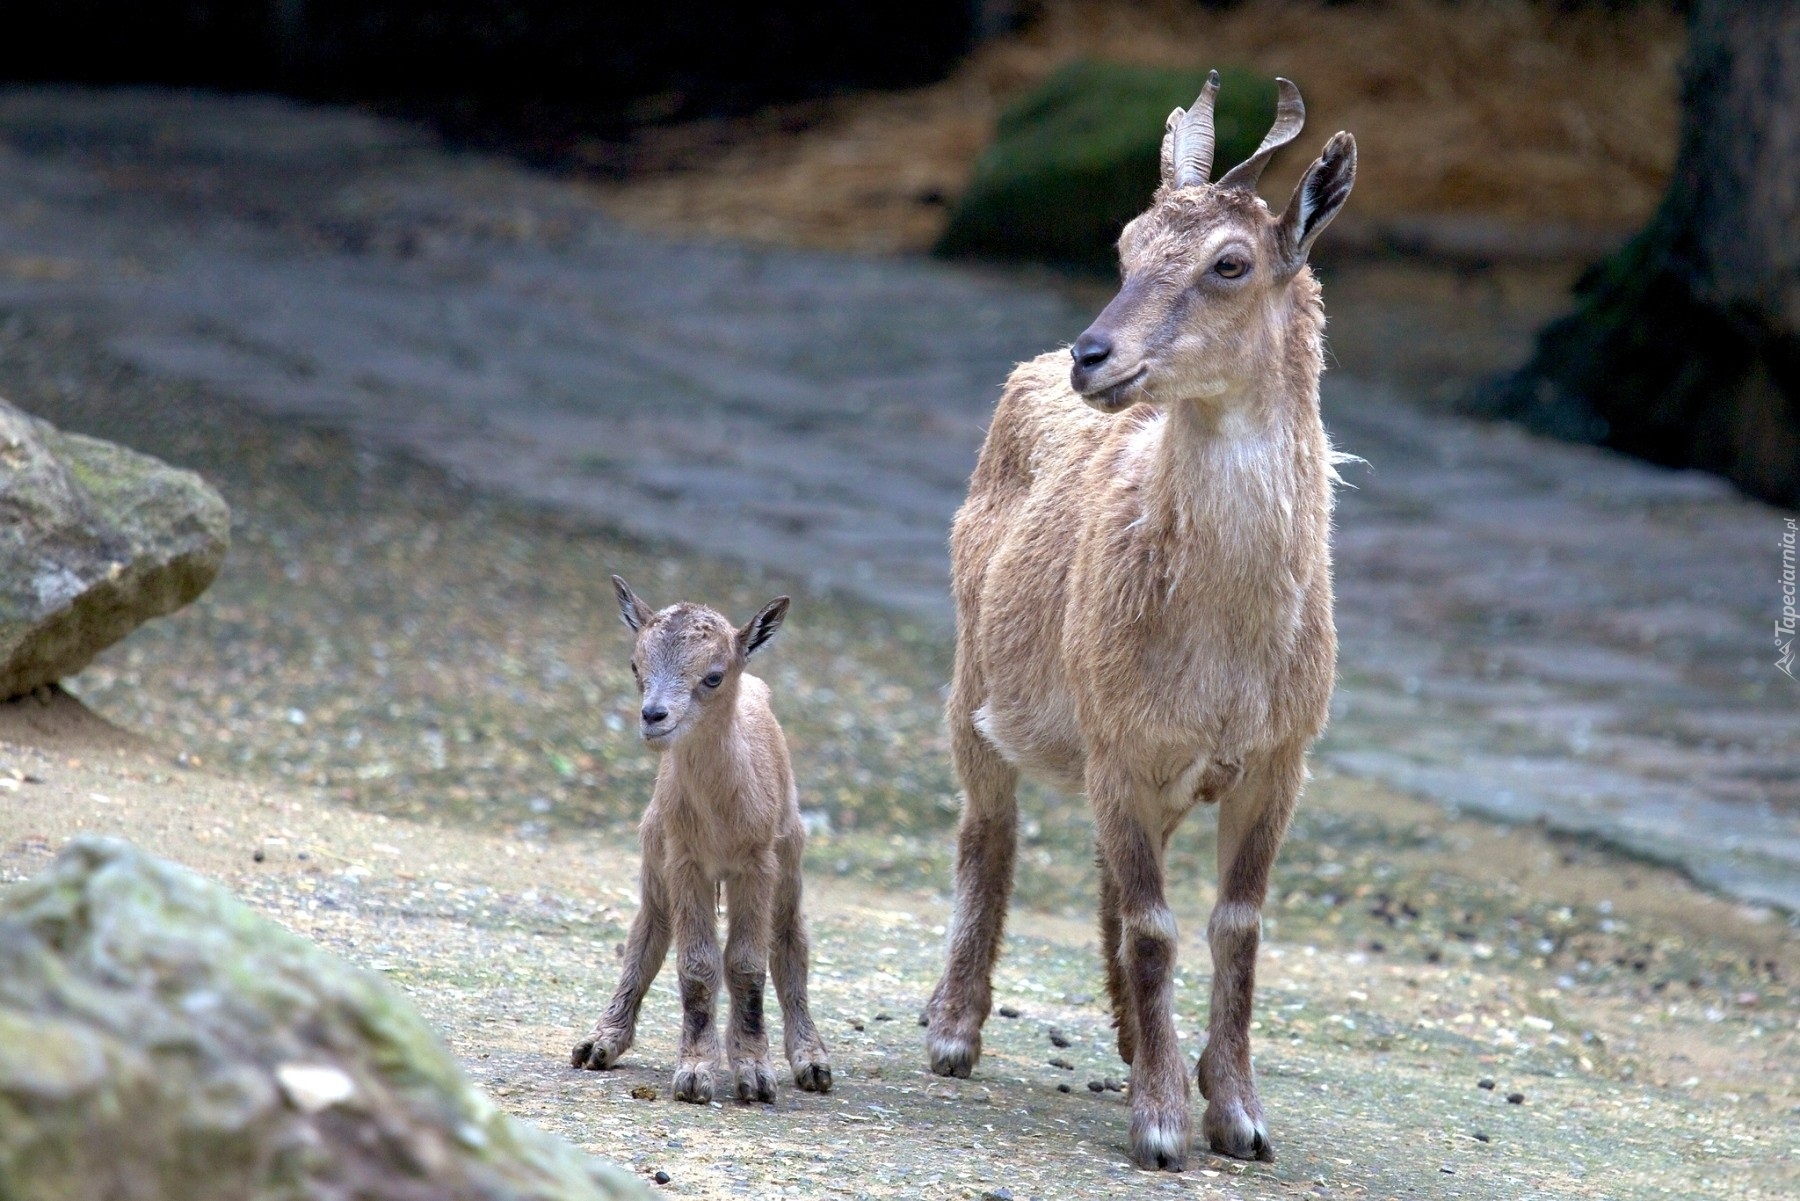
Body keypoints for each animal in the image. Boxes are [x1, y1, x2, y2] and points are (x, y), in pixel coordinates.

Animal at [572, 576, 831, 1101]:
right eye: (635, 665)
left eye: (713, 676)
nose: (654, 716)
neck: (721, 818)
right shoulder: (684, 860)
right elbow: (696, 965)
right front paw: (695, 1072)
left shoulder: (757, 863)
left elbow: (748, 963)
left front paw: (754, 1074)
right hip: (654, 854)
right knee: (647, 933)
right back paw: (599, 1044)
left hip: (790, 856)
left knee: (790, 941)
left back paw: (811, 1062)